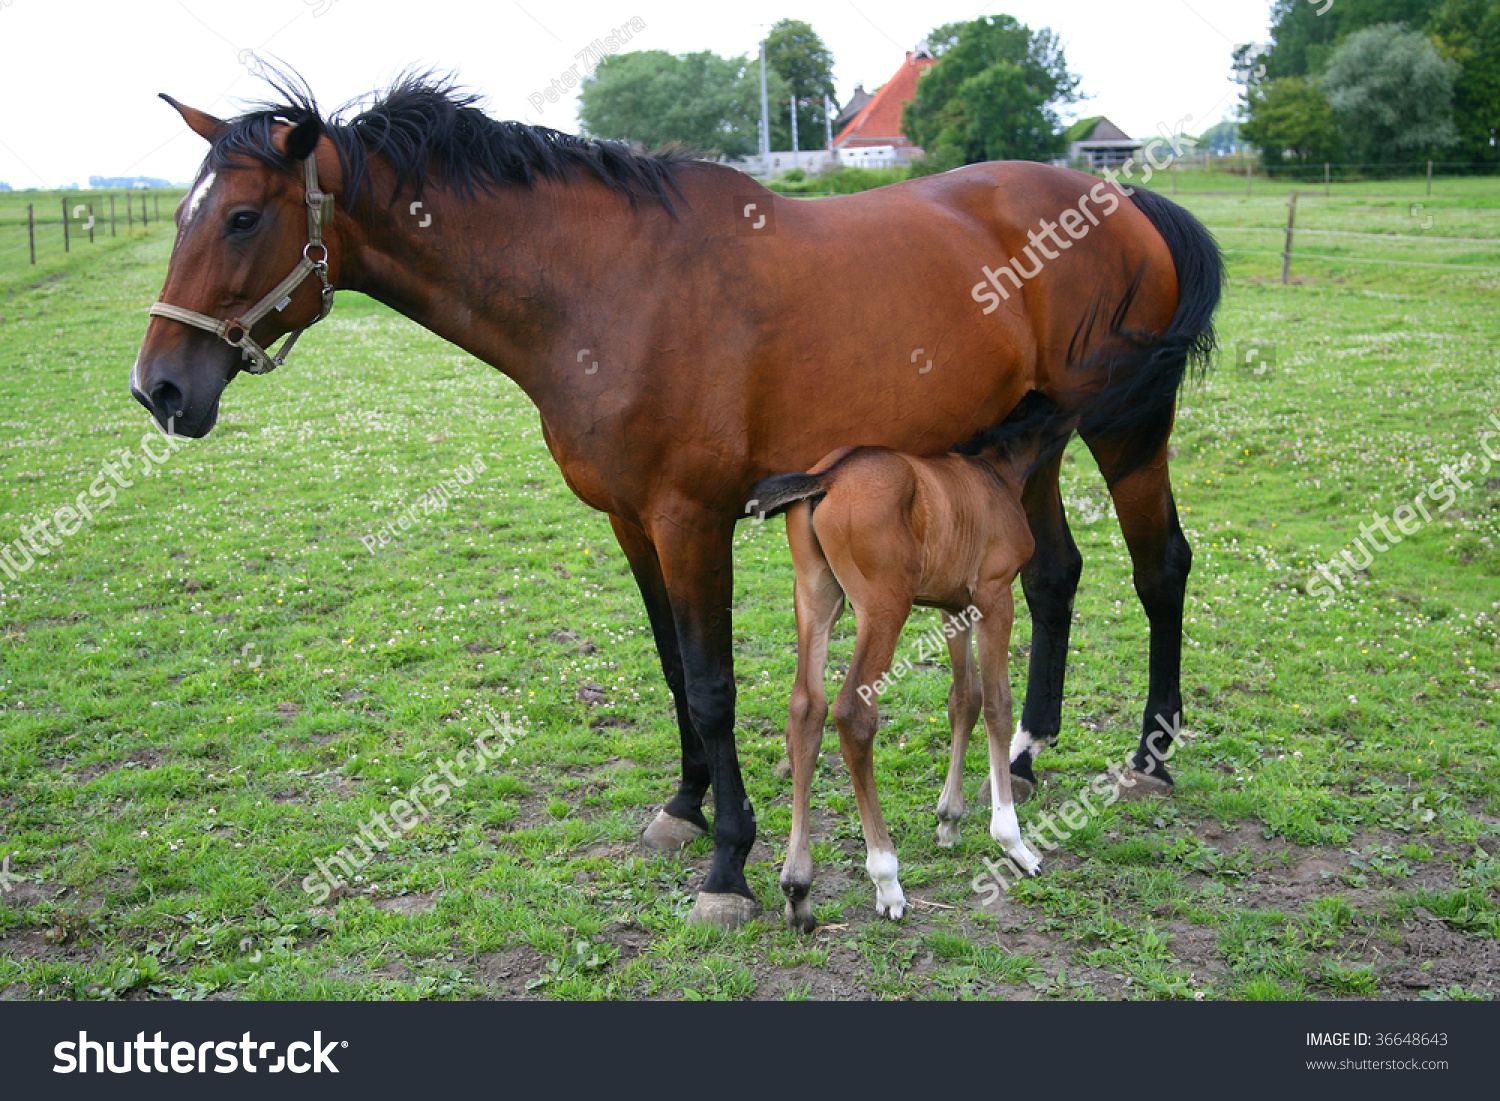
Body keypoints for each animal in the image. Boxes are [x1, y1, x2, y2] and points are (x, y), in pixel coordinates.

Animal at [750, 396, 1068, 930]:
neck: (998, 471)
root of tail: (828, 476)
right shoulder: (995, 595)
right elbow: (998, 706)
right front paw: (1013, 842)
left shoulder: (954, 606)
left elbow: (964, 698)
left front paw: (949, 820)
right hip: (884, 605)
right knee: (853, 712)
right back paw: (887, 879)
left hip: (814, 594)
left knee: (806, 708)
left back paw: (798, 888)